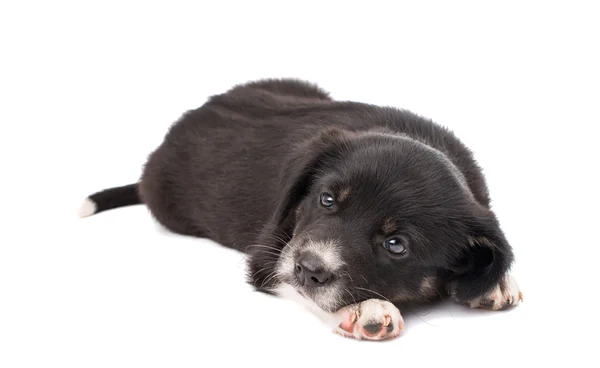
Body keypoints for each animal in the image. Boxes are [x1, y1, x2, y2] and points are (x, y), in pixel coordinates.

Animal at [78, 79, 520, 340]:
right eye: (327, 199)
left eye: (396, 245)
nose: (309, 268)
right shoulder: (270, 252)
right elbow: (295, 286)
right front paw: (365, 309)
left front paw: (496, 283)